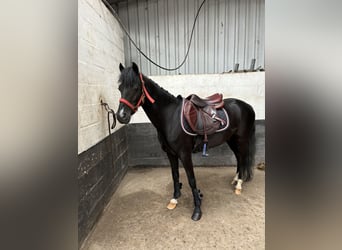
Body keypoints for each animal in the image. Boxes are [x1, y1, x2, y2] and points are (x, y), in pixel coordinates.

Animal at [116, 62, 255, 221]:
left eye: (136, 87)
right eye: (120, 88)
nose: (121, 116)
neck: (170, 117)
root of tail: (247, 106)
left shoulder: (184, 154)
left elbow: (191, 180)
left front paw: (197, 209)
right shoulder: (171, 153)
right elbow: (175, 175)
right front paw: (175, 198)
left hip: (241, 139)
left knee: (243, 158)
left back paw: (239, 185)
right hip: (231, 140)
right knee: (239, 158)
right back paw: (236, 179)